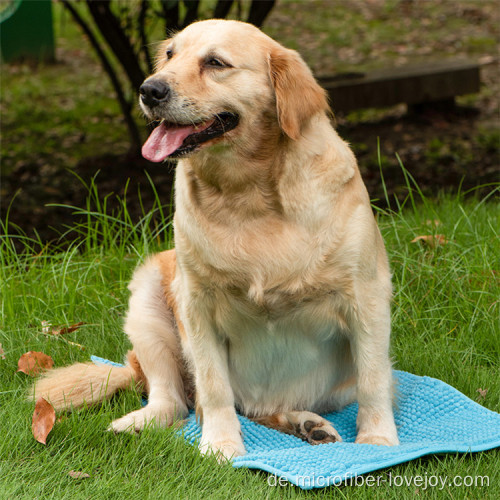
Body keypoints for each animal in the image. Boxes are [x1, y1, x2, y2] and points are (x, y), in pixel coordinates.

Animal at [32, 20, 398, 460]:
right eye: (170, 55)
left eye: (216, 63)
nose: (149, 89)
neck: (250, 197)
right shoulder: (197, 304)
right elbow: (214, 388)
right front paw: (221, 445)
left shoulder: (366, 296)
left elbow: (373, 380)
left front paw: (378, 439)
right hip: (149, 299)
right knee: (176, 401)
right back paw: (137, 423)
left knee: (264, 409)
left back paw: (307, 424)